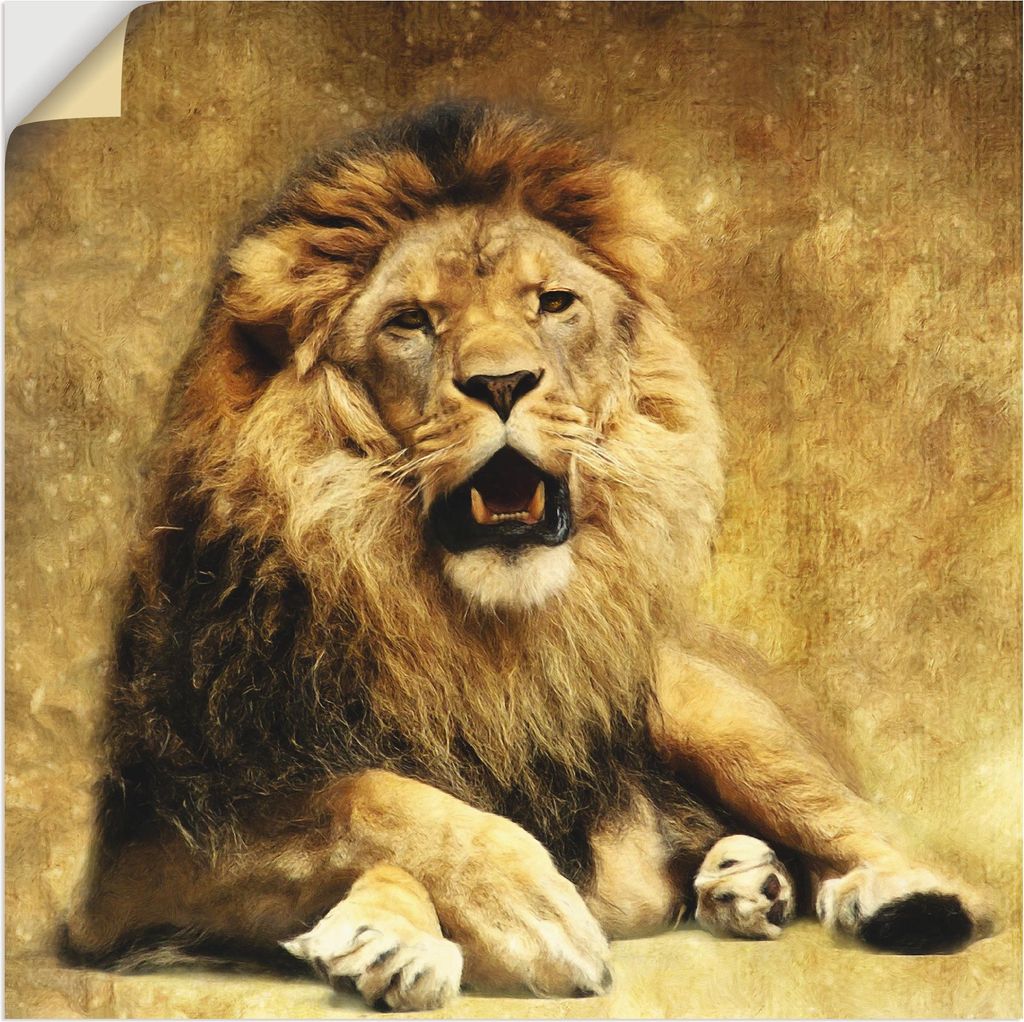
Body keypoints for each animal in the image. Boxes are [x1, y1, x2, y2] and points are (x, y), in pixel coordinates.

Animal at [65, 101, 993, 1010]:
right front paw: (434, 927)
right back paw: (741, 881)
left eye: (552, 304)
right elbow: (362, 798)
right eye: (410, 322)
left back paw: (899, 898)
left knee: (855, 827)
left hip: (712, 713)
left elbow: (369, 803)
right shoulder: (141, 857)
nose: (503, 382)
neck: (470, 635)